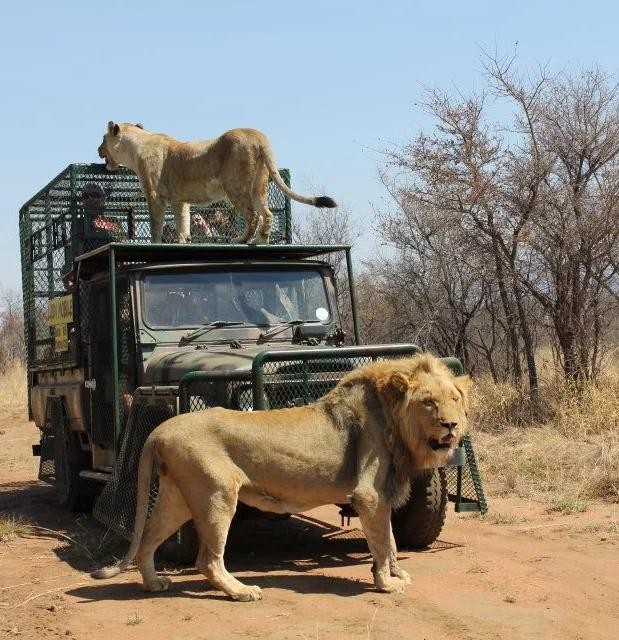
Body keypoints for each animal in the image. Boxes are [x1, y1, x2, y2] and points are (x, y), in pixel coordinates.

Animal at [93, 356, 470, 600]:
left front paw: (397, 573)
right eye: (428, 402)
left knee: (147, 540)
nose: (451, 425)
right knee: (207, 560)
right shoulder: (370, 494)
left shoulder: (382, 495)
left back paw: (154, 583)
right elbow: (380, 541)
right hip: (217, 494)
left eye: (454, 398)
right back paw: (241, 591)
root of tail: (159, 430)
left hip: (178, 498)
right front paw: (386, 584)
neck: (395, 420)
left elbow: (390, 539)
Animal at [97, 123, 336, 245]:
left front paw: (156, 243)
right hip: (259, 185)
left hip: (235, 186)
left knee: (252, 215)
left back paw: (241, 239)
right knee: (266, 213)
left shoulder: (156, 195)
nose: (98, 149)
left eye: (102, 139)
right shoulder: (180, 200)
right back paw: (261, 240)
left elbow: (156, 224)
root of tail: (257, 135)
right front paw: (183, 241)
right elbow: (183, 223)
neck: (136, 147)